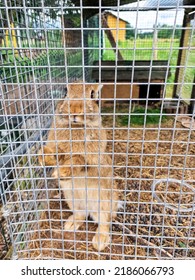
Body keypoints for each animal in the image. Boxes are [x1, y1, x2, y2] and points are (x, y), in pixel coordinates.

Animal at [38, 82, 117, 252]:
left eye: (92, 95)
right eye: (65, 92)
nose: (74, 110)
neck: (76, 127)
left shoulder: (90, 160)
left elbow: (78, 160)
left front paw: (63, 172)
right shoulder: (60, 149)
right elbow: (57, 154)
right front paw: (43, 157)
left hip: (103, 202)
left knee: (104, 222)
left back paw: (100, 242)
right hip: (72, 199)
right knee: (81, 214)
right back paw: (70, 225)